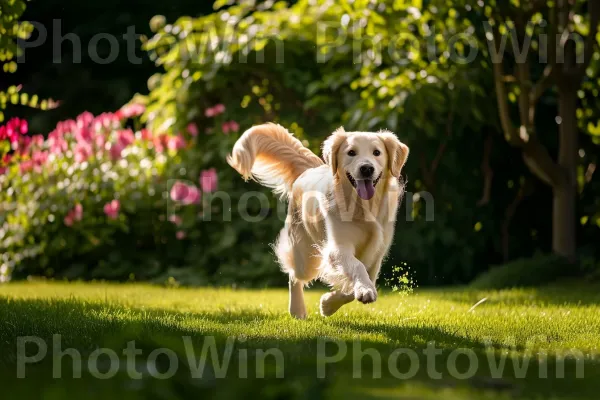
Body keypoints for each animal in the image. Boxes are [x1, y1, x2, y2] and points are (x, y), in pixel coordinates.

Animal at [229, 123, 408, 318]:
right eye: (351, 152)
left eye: (377, 152)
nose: (366, 168)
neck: (363, 207)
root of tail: (310, 169)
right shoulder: (338, 248)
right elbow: (357, 267)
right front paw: (361, 291)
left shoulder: (376, 253)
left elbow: (359, 283)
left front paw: (329, 303)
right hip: (304, 254)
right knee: (294, 275)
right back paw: (297, 310)